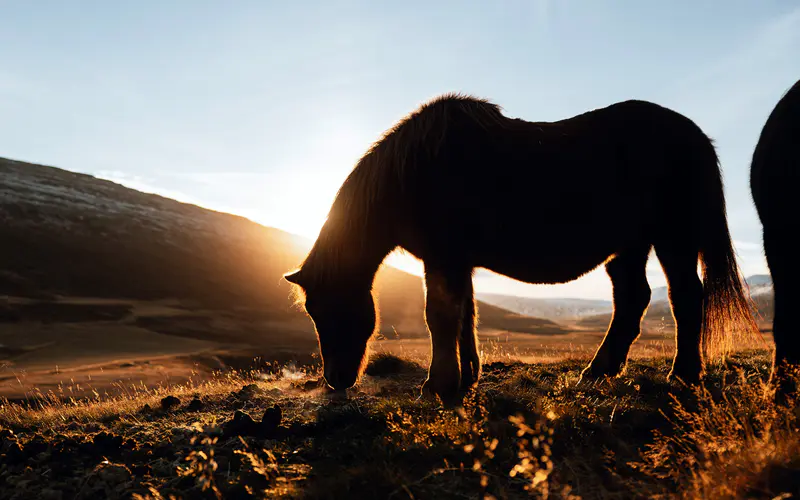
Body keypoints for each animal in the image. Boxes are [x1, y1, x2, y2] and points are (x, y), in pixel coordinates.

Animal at [284, 94, 760, 404]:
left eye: (326, 310)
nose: (336, 380)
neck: (412, 172)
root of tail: (695, 136)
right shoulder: (457, 262)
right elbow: (465, 317)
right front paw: (466, 378)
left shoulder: (443, 258)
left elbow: (440, 317)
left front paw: (438, 385)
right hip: (630, 246)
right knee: (632, 299)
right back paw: (598, 372)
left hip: (672, 238)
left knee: (684, 297)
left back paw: (683, 374)